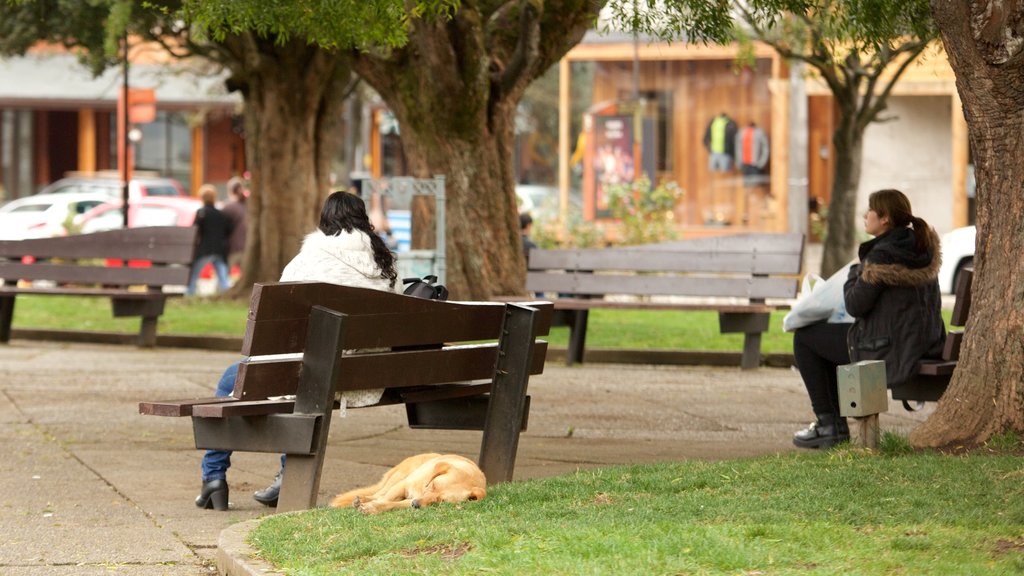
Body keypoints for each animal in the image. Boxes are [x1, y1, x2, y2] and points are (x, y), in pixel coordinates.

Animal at [329, 450, 485, 512]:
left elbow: (390, 504)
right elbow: (385, 498)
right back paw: (361, 499)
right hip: (399, 476)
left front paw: (373, 508)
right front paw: (369, 505)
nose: (416, 504)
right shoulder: (402, 486)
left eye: (441, 501)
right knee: (378, 493)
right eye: (433, 485)